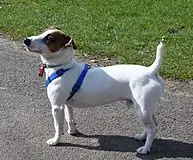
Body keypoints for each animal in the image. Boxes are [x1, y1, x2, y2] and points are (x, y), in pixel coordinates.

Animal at [24, 27, 165, 154]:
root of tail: (151, 71)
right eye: (42, 32)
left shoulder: (57, 107)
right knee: (153, 124)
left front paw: (55, 141)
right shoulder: (67, 105)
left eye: (49, 38)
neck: (62, 67)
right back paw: (142, 137)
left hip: (142, 110)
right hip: (146, 109)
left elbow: (58, 126)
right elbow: (70, 118)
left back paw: (145, 149)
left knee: (152, 129)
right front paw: (72, 131)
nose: (26, 40)